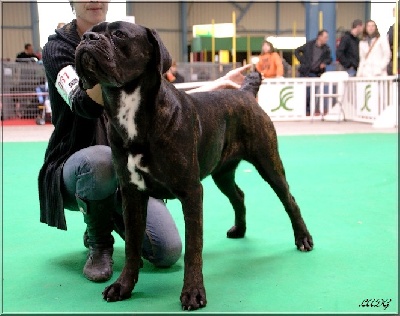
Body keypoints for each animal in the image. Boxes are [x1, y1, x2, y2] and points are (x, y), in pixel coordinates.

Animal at [75, 21, 312, 310]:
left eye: (119, 34)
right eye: (92, 31)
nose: (87, 37)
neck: (130, 109)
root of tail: (244, 93)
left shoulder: (191, 192)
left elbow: (193, 247)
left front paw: (193, 292)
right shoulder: (132, 194)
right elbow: (132, 245)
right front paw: (123, 286)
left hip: (268, 163)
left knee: (289, 200)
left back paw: (303, 239)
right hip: (223, 173)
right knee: (238, 196)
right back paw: (240, 229)